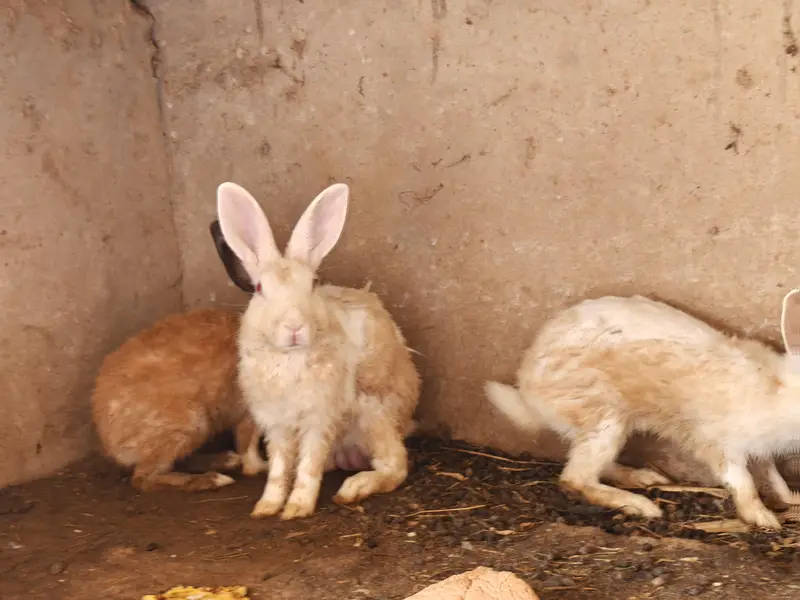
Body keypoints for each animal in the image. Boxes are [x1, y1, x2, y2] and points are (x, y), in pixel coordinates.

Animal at [92, 308, 269, 492]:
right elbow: (250, 448)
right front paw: (262, 467)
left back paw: (225, 460)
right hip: (189, 422)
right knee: (145, 478)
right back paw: (212, 479)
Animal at [216, 180, 421, 520]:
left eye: (312, 285)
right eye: (258, 289)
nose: (294, 326)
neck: (289, 357)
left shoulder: (319, 419)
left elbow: (309, 467)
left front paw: (297, 508)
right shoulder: (277, 425)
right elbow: (279, 468)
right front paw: (267, 506)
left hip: (373, 415)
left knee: (395, 465)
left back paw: (354, 487)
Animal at [484, 292, 800, 529]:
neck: (778, 391)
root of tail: (529, 394)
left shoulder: (762, 451)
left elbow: (773, 477)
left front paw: (792, 498)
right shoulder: (718, 443)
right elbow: (742, 482)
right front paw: (762, 518)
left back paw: (644, 478)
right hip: (605, 420)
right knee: (575, 478)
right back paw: (641, 506)